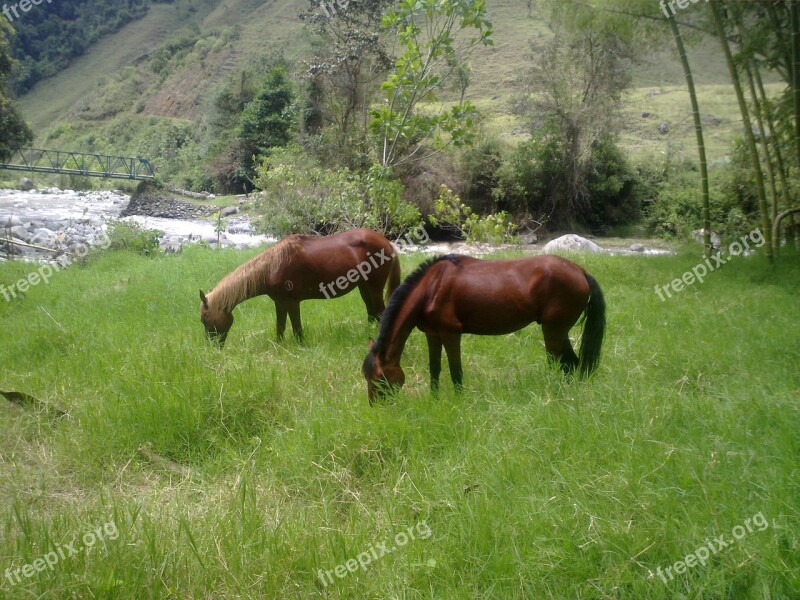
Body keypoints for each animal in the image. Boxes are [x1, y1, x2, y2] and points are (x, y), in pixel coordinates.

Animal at [200, 227, 400, 344]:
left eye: (204, 319)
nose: (212, 347)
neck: (272, 267)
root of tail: (386, 242)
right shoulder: (279, 303)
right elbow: (280, 327)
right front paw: (279, 346)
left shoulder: (292, 302)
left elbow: (296, 328)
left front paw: (300, 346)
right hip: (364, 287)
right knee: (372, 313)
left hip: (374, 288)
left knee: (380, 312)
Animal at [362, 253, 608, 404]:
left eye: (379, 378)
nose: (376, 407)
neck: (431, 288)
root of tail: (580, 271)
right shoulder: (432, 335)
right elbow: (435, 369)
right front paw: (434, 400)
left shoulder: (451, 334)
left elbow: (456, 371)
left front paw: (459, 401)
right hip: (559, 331)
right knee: (572, 365)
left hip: (553, 331)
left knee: (560, 364)